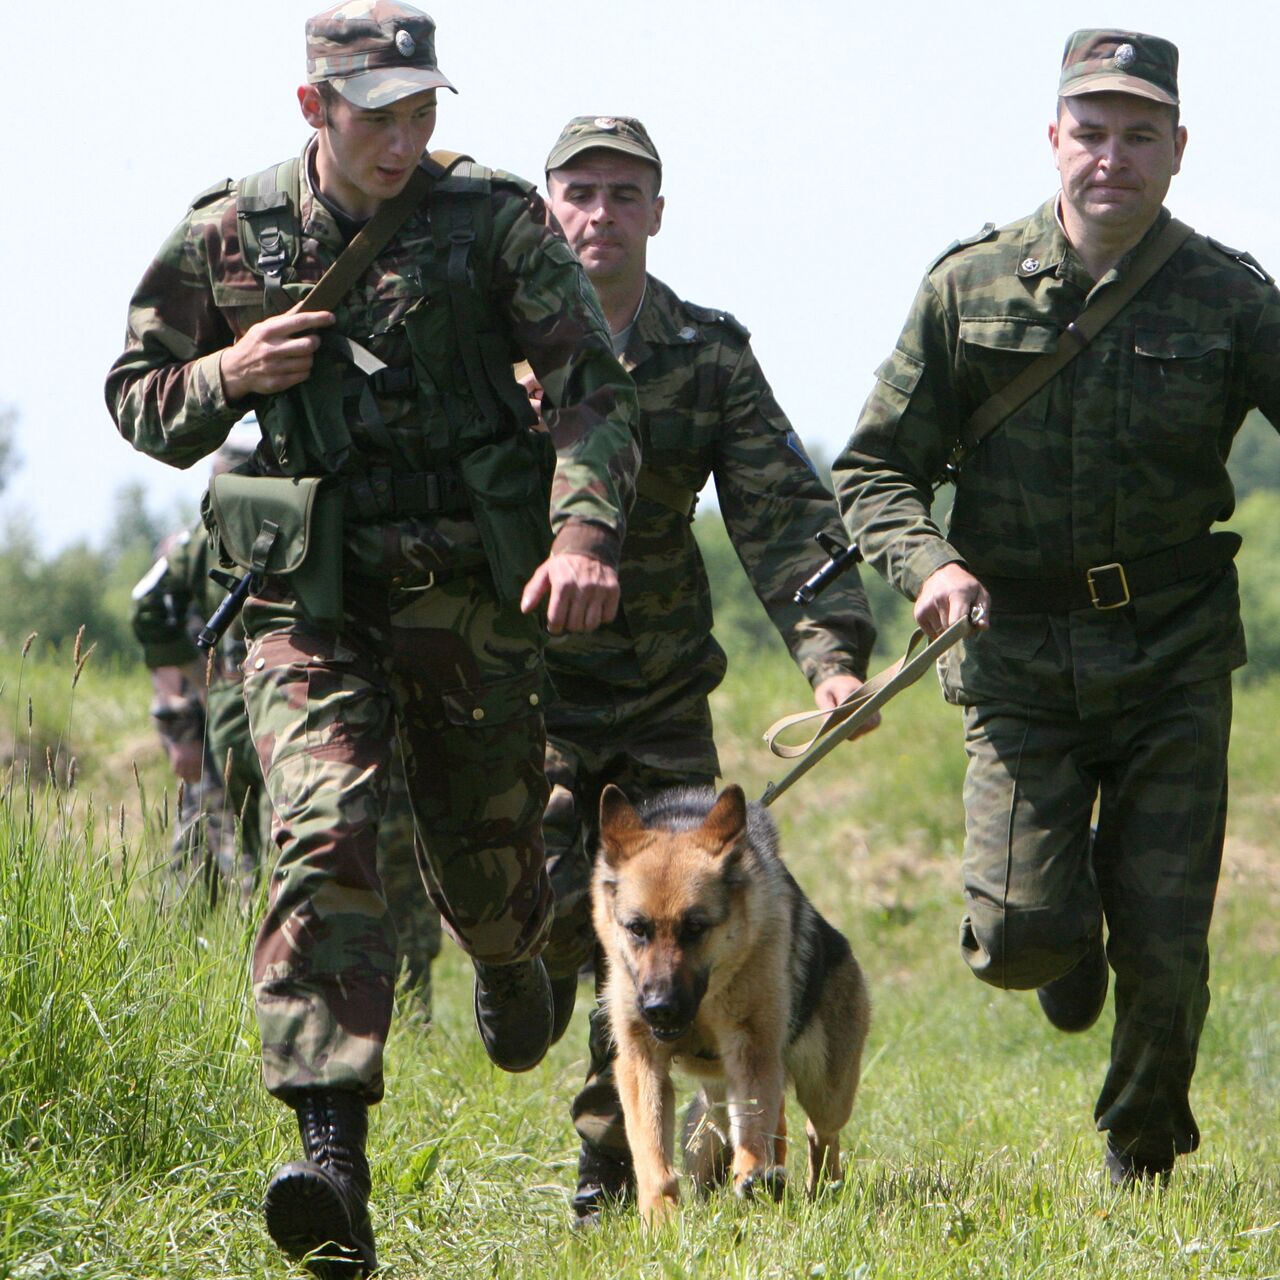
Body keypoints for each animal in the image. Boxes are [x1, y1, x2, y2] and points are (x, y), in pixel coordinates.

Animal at [591, 778, 870, 1218]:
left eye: (694, 927)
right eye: (637, 928)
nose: (659, 1008)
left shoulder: (752, 1048)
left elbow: (754, 1127)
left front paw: (752, 1172)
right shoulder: (640, 1062)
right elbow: (651, 1152)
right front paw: (660, 1218)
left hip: (827, 1091)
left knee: (819, 1131)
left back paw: (821, 1188)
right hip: (722, 1100)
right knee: (777, 1123)